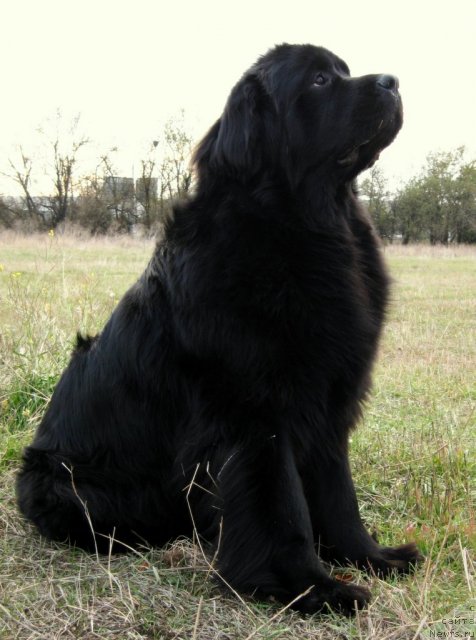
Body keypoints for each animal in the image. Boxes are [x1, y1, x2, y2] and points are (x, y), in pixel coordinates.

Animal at [16, 43, 422, 616]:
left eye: (344, 70)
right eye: (319, 80)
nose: (393, 81)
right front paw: (308, 587)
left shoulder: (328, 405)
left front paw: (369, 557)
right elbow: (283, 509)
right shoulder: (254, 415)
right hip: (66, 486)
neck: (310, 223)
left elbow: (339, 496)